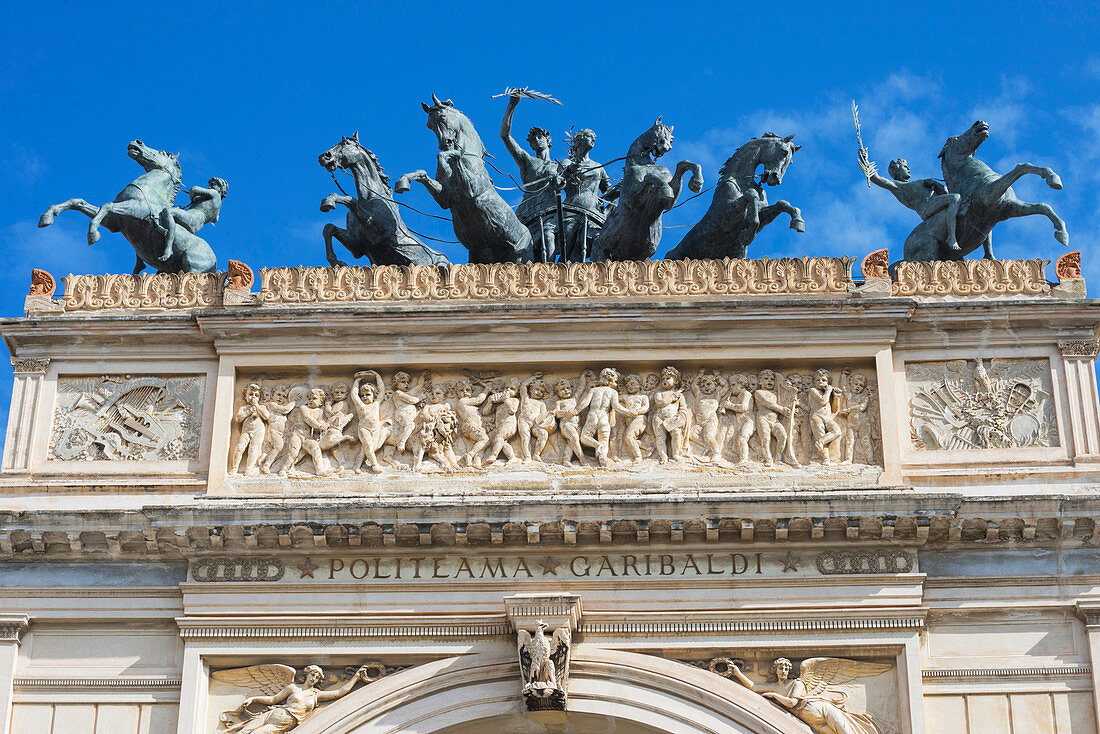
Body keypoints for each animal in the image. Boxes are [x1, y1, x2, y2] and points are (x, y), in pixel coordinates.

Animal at [319, 133, 451, 268]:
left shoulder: (378, 233)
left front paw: (329, 201)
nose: (324, 156)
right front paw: (336, 262)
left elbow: (352, 201)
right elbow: (329, 228)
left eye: (346, 143)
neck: (369, 197)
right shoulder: (357, 245)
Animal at [396, 93, 532, 263]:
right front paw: (402, 183)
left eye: (443, 116)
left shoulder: (471, 189)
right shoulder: (445, 199)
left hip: (519, 254)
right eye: (429, 125)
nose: (445, 144)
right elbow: (423, 173)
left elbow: (446, 156)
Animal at [589, 117, 699, 260]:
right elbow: (650, 177)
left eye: (671, 139)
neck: (643, 164)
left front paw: (697, 183)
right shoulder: (631, 200)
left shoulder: (666, 203)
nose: (666, 147)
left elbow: (682, 164)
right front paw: (665, 188)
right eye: (657, 130)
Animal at [664, 132, 805, 260]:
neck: (743, 182)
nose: (776, 179)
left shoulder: (763, 217)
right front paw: (747, 235)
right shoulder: (726, 217)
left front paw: (798, 222)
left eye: (791, 162)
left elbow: (782, 204)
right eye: (783, 152)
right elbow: (751, 195)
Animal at [919, 123, 1064, 264]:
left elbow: (1043, 206)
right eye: (955, 139)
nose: (979, 123)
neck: (971, 176)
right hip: (928, 250)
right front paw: (1053, 179)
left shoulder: (1010, 207)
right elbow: (1021, 167)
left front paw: (1062, 233)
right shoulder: (989, 196)